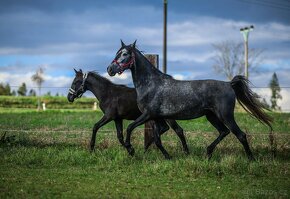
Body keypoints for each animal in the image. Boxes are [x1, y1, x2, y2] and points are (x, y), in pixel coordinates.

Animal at [107, 40, 274, 160]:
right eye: (117, 53)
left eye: (125, 54)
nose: (110, 69)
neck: (151, 84)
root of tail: (229, 84)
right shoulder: (156, 118)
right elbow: (157, 139)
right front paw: (168, 156)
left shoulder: (148, 115)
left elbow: (130, 128)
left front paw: (130, 148)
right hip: (211, 116)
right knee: (224, 132)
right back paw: (208, 153)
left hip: (226, 115)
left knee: (240, 135)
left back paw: (251, 159)